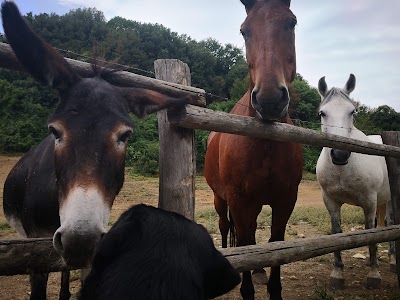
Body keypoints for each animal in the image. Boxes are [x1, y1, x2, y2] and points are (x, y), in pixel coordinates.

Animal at [205, 1, 302, 298]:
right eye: (244, 30)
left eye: (291, 22)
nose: (270, 99)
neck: (264, 144)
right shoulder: (238, 201)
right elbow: (246, 242)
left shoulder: (285, 200)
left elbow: (276, 243)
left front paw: (273, 287)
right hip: (221, 198)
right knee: (226, 228)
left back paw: (258, 270)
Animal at [316, 74, 394, 290]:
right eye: (322, 113)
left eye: (352, 111)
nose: (340, 154)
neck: (343, 170)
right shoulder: (330, 201)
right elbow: (336, 233)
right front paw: (337, 274)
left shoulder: (370, 202)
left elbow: (370, 232)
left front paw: (374, 275)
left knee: (390, 223)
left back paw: (392, 261)